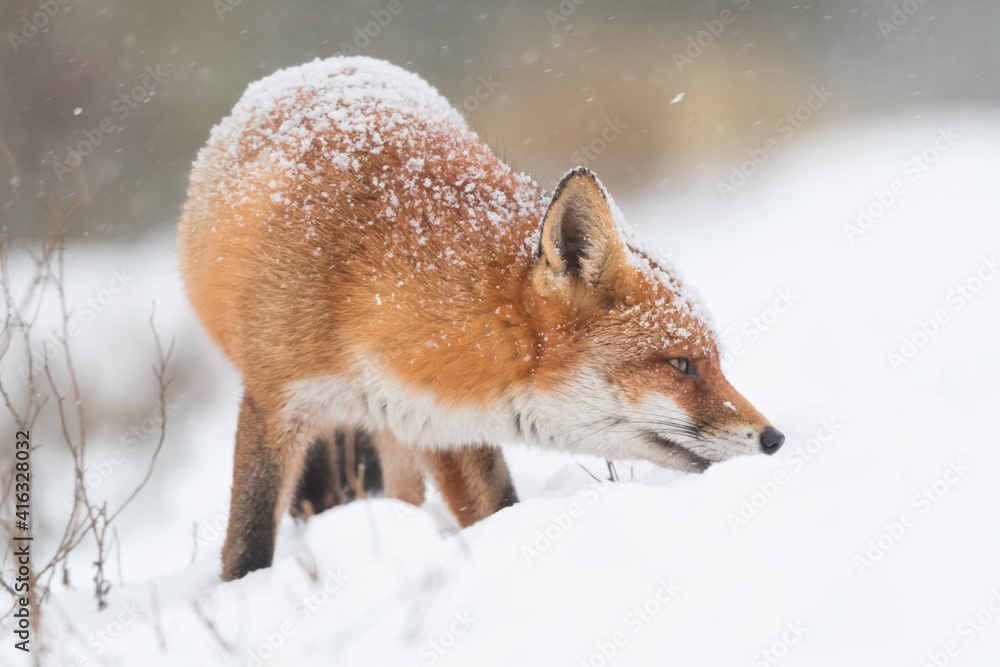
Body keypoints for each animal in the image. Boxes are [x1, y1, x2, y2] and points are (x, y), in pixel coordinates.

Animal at [178, 56, 784, 581]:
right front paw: (242, 593)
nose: (775, 439)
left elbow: (500, 509)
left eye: (714, 361)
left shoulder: (446, 421)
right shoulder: (274, 400)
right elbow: (249, 543)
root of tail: (322, 63)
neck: (362, 286)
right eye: (681, 365)